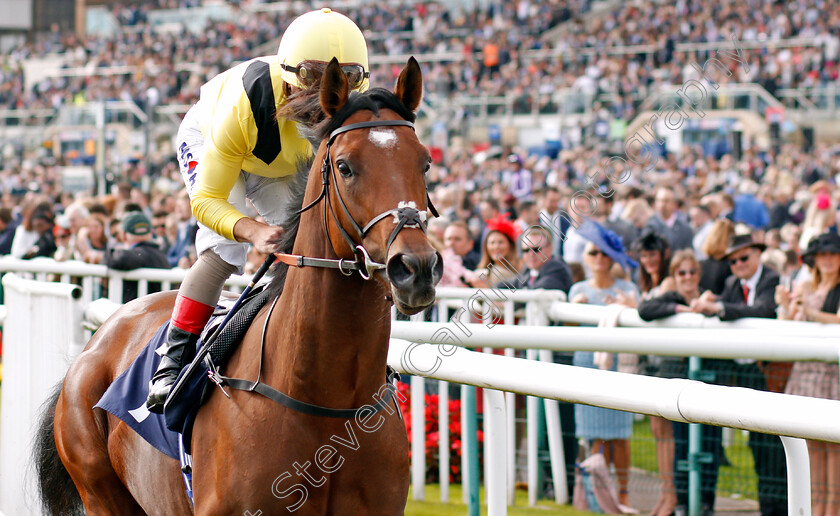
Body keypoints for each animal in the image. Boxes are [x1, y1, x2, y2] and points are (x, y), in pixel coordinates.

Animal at [34, 58, 440, 512]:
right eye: (345, 166)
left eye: (424, 163)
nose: (415, 268)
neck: (329, 400)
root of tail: (101, 335)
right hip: (99, 488)